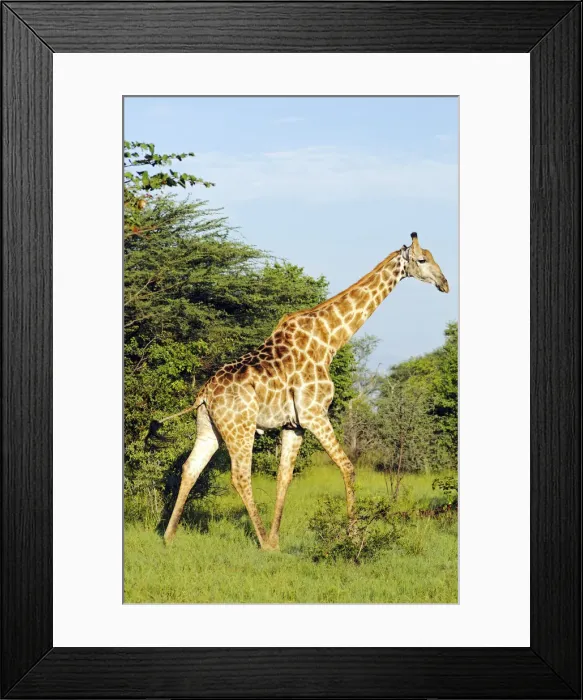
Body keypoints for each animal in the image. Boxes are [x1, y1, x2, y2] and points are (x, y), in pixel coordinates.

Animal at [160, 232, 449, 550]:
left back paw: (169, 536)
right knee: (240, 475)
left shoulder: (293, 424)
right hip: (241, 427)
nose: (445, 283)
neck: (329, 340)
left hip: (209, 427)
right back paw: (261, 540)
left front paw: (277, 539)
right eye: (422, 259)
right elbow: (348, 467)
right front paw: (354, 536)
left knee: (190, 467)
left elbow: (284, 477)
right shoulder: (315, 413)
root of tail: (205, 394)